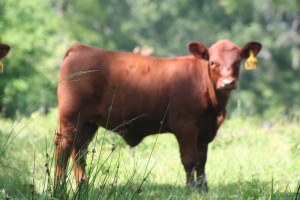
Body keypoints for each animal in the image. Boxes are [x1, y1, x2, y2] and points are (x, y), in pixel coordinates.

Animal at [55, 39, 262, 191]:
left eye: (237, 62)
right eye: (213, 62)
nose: (227, 83)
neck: (214, 109)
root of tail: (80, 48)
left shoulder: (204, 131)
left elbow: (202, 160)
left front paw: (203, 187)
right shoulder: (185, 125)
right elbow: (190, 158)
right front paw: (191, 188)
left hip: (88, 123)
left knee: (79, 151)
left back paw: (83, 186)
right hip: (71, 118)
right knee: (63, 147)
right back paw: (59, 186)